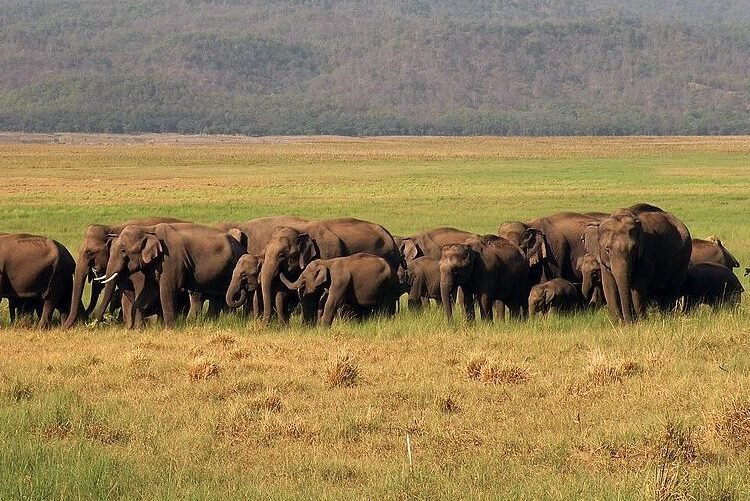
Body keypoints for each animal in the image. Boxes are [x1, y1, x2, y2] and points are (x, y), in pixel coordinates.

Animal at [98, 223, 245, 328]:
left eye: (123, 251)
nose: (98, 323)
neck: (149, 230)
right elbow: (149, 291)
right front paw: (138, 329)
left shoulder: (171, 260)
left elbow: (167, 289)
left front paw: (170, 329)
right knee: (217, 297)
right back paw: (211, 322)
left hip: (231, 268)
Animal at [260, 218, 401, 325]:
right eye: (264, 252)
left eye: (282, 255)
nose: (264, 327)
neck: (302, 230)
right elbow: (290, 292)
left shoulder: (328, 252)